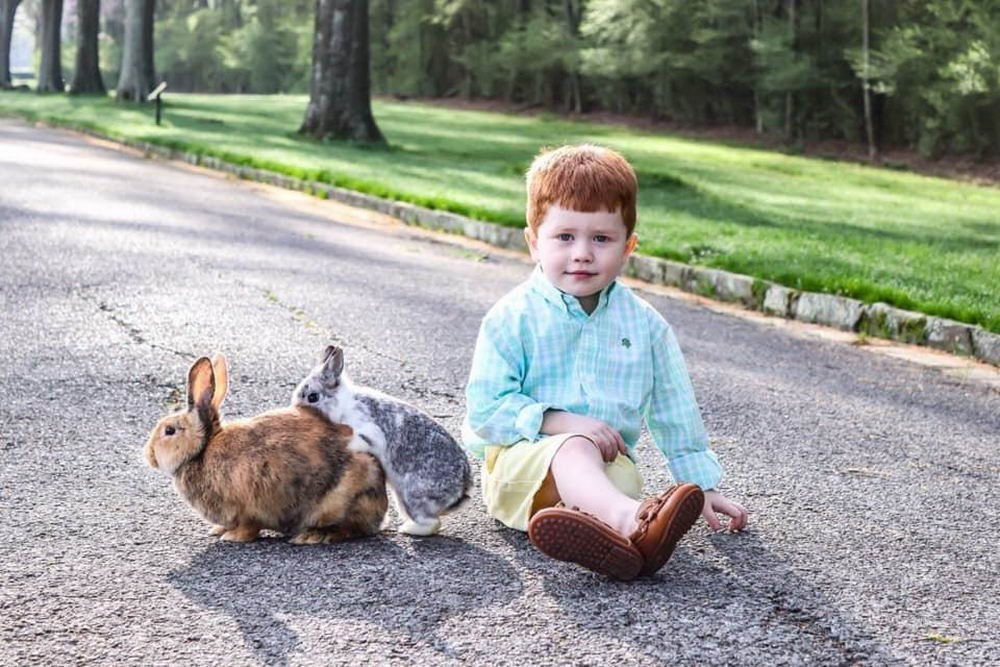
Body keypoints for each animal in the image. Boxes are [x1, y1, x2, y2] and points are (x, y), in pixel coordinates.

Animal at [145, 354, 386, 544]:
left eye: (169, 430)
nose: (149, 455)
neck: (202, 451)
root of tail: (381, 506)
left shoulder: (247, 508)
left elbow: (249, 527)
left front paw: (231, 537)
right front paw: (218, 530)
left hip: (339, 501)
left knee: (350, 528)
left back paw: (313, 536)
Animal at [292, 348, 472, 536]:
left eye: (313, 397)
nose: (297, 408)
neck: (343, 405)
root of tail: (461, 488)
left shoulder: (369, 429)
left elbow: (361, 439)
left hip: (414, 496)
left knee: (433, 523)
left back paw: (407, 530)